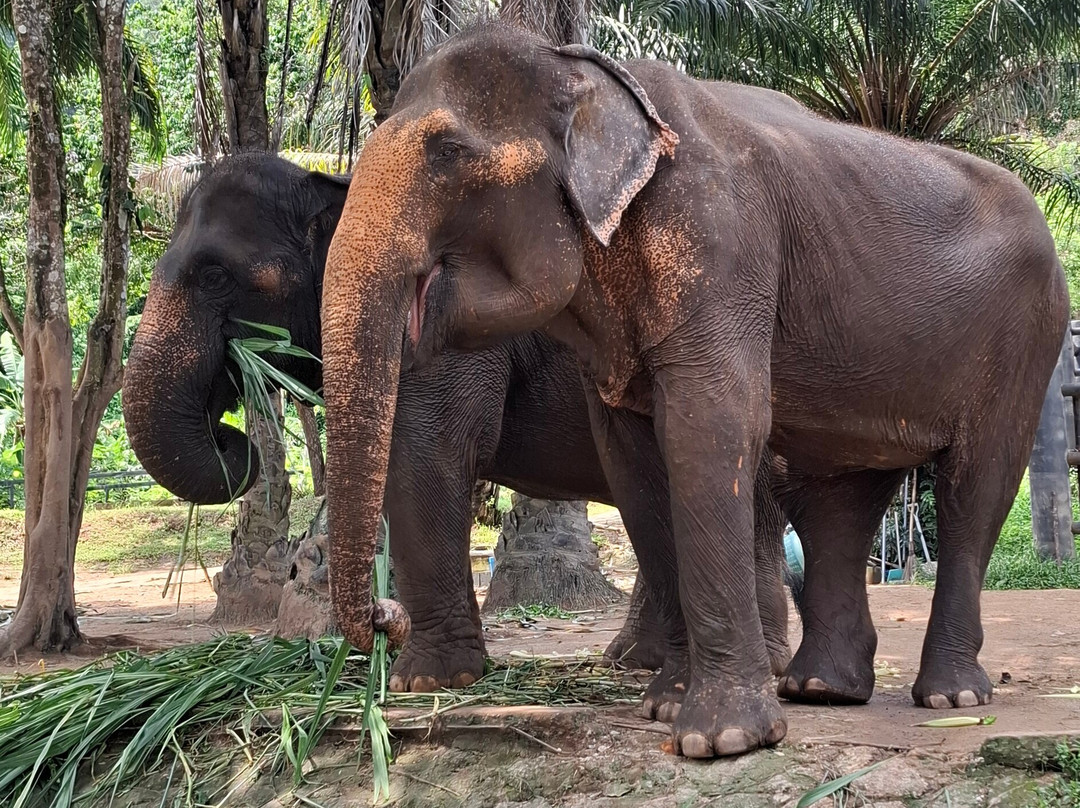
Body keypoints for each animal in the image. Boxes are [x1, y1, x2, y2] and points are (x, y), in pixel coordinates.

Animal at [121, 152, 794, 693]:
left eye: (214, 275)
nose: (384, 618)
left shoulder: (449, 321)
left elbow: (425, 454)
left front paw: (423, 681)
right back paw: (634, 661)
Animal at [318, 22, 1069, 759]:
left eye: (447, 151)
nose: (386, 616)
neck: (585, 71)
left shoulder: (721, 243)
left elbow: (708, 427)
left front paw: (721, 738)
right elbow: (633, 461)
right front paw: (668, 704)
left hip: (1029, 338)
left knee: (975, 487)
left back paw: (950, 698)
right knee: (838, 500)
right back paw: (822, 689)